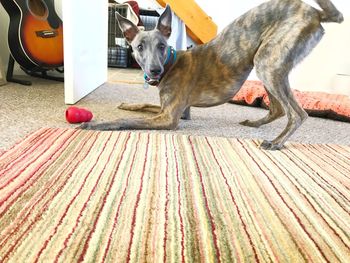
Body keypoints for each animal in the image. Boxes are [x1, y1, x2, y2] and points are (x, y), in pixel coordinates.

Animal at [80, 0, 344, 151]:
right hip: (269, 65)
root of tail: (316, 13)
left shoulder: (170, 118)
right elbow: (142, 105)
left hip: (267, 63)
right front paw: (126, 104)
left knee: (297, 113)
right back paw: (255, 123)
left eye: (162, 46)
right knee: (278, 109)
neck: (171, 63)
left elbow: (125, 121)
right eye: (139, 47)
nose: (154, 71)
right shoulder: (174, 110)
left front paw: (95, 124)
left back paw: (277, 142)